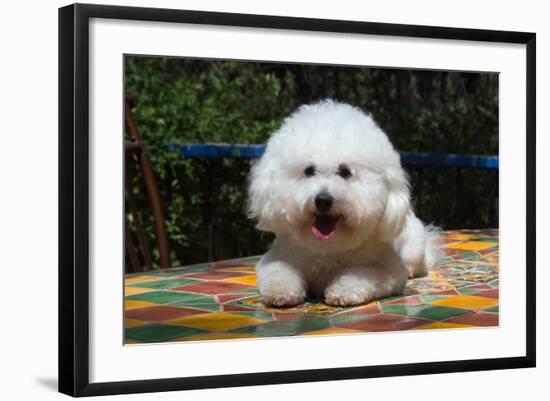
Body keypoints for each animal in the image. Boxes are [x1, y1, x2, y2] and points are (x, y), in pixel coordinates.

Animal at [248, 100, 442, 306]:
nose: (323, 200)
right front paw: (280, 292)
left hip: (414, 248)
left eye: (345, 171)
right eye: (309, 171)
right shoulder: (277, 257)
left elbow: (362, 274)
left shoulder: (390, 269)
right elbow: (278, 271)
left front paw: (343, 291)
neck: (328, 247)